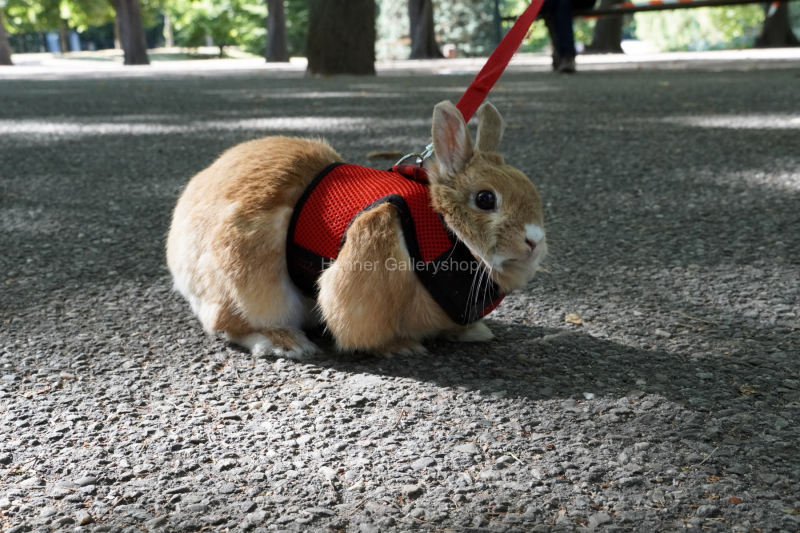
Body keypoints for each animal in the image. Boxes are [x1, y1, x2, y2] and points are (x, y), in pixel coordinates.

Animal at [166, 100, 547, 359]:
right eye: (485, 199)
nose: (534, 241)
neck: (443, 225)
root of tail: (178, 257)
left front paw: (473, 333)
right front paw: (401, 347)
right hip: (248, 284)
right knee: (227, 324)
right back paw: (285, 343)